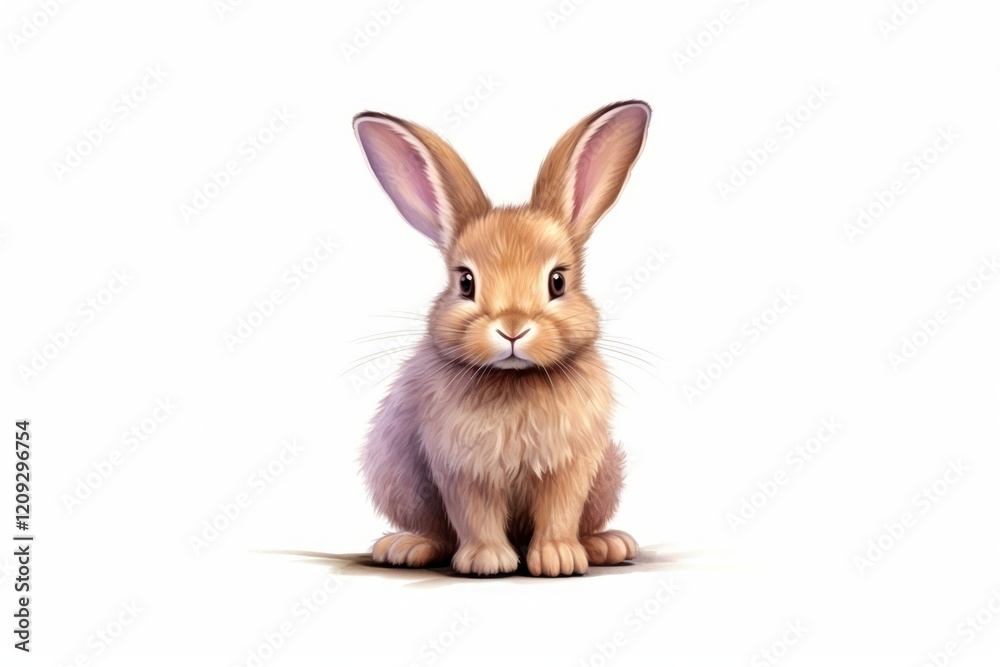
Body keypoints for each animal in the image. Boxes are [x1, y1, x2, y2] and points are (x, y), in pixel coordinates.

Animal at [353, 100, 651, 576]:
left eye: (557, 281)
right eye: (466, 282)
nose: (513, 329)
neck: (514, 378)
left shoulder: (572, 464)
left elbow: (561, 510)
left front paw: (558, 559)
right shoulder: (461, 467)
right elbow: (475, 514)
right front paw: (486, 561)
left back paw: (607, 545)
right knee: (437, 533)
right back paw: (405, 547)